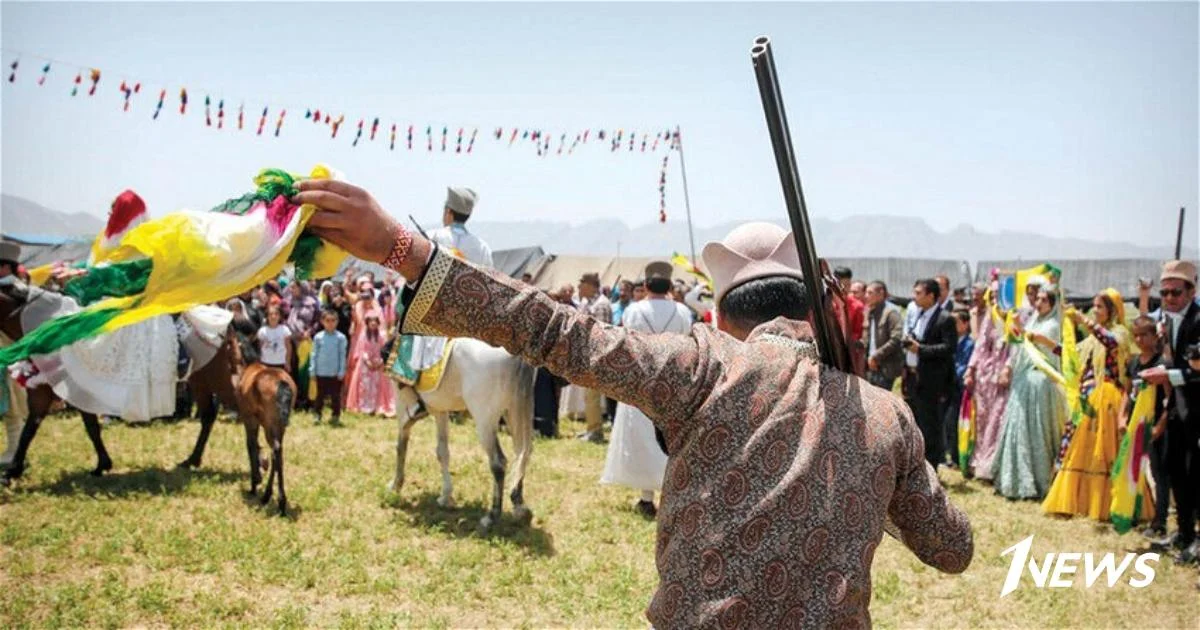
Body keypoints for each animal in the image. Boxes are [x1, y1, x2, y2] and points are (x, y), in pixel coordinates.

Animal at [388, 336, 535, 528]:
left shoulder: (401, 401)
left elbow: (401, 446)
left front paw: (395, 485)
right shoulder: (440, 410)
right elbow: (442, 452)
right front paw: (445, 497)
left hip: (485, 420)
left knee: (499, 463)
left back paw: (491, 517)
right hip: (514, 413)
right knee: (521, 456)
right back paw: (520, 508)